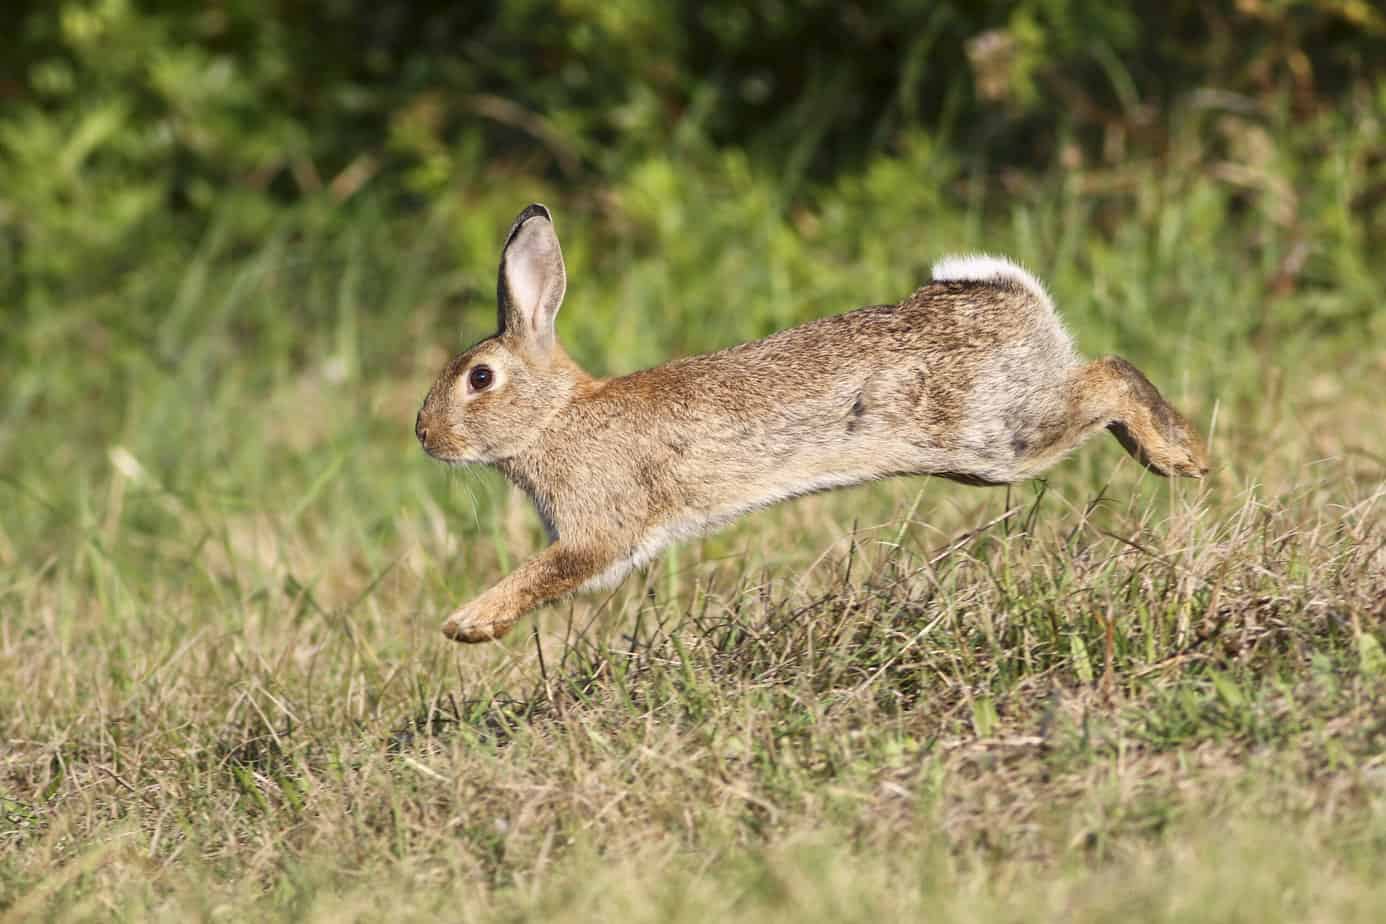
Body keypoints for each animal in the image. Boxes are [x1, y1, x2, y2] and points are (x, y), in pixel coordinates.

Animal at [410, 203, 1203, 642]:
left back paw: (1179, 456)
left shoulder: (598, 528)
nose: (424, 436)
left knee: (1108, 376)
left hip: (996, 437)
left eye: (479, 379)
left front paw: (467, 624)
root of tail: (1014, 298)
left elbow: (548, 572)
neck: (554, 416)